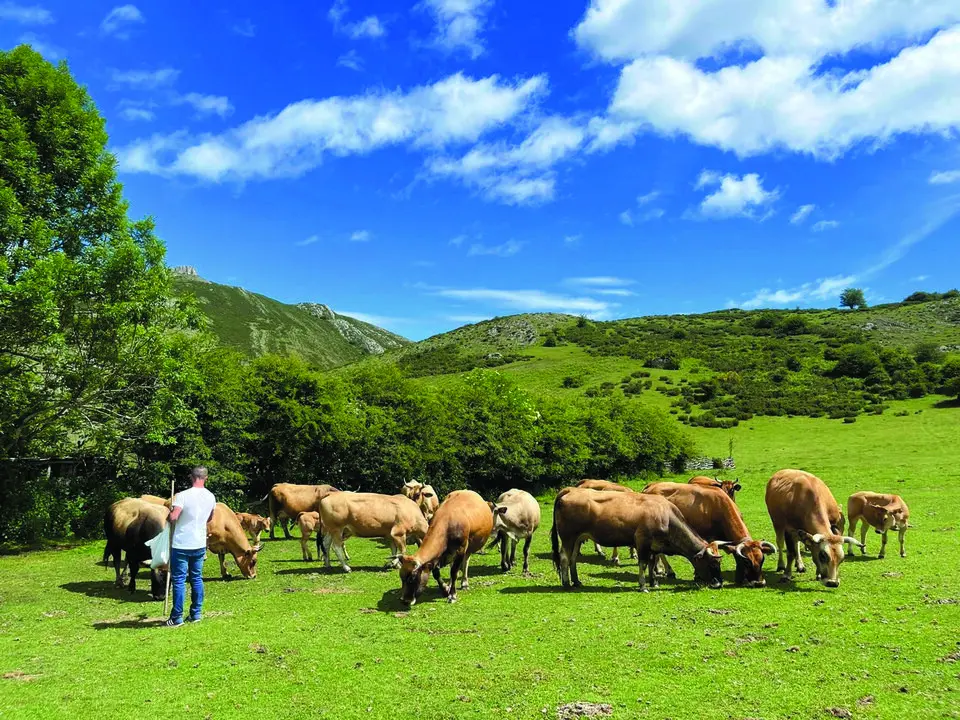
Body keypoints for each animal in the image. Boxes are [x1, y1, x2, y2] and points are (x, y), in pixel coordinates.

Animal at [551, 487, 725, 591]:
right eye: (712, 563)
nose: (718, 583)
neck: (666, 517)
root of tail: (570, 490)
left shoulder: (655, 545)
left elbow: (652, 563)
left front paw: (654, 582)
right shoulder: (642, 541)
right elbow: (643, 563)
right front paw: (643, 585)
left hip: (577, 539)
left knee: (573, 559)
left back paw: (576, 581)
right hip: (568, 537)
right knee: (565, 558)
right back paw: (566, 584)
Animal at [642, 482, 776, 587]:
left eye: (762, 560)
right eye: (747, 562)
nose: (759, 583)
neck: (719, 507)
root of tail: (651, 486)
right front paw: (697, 575)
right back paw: (666, 570)